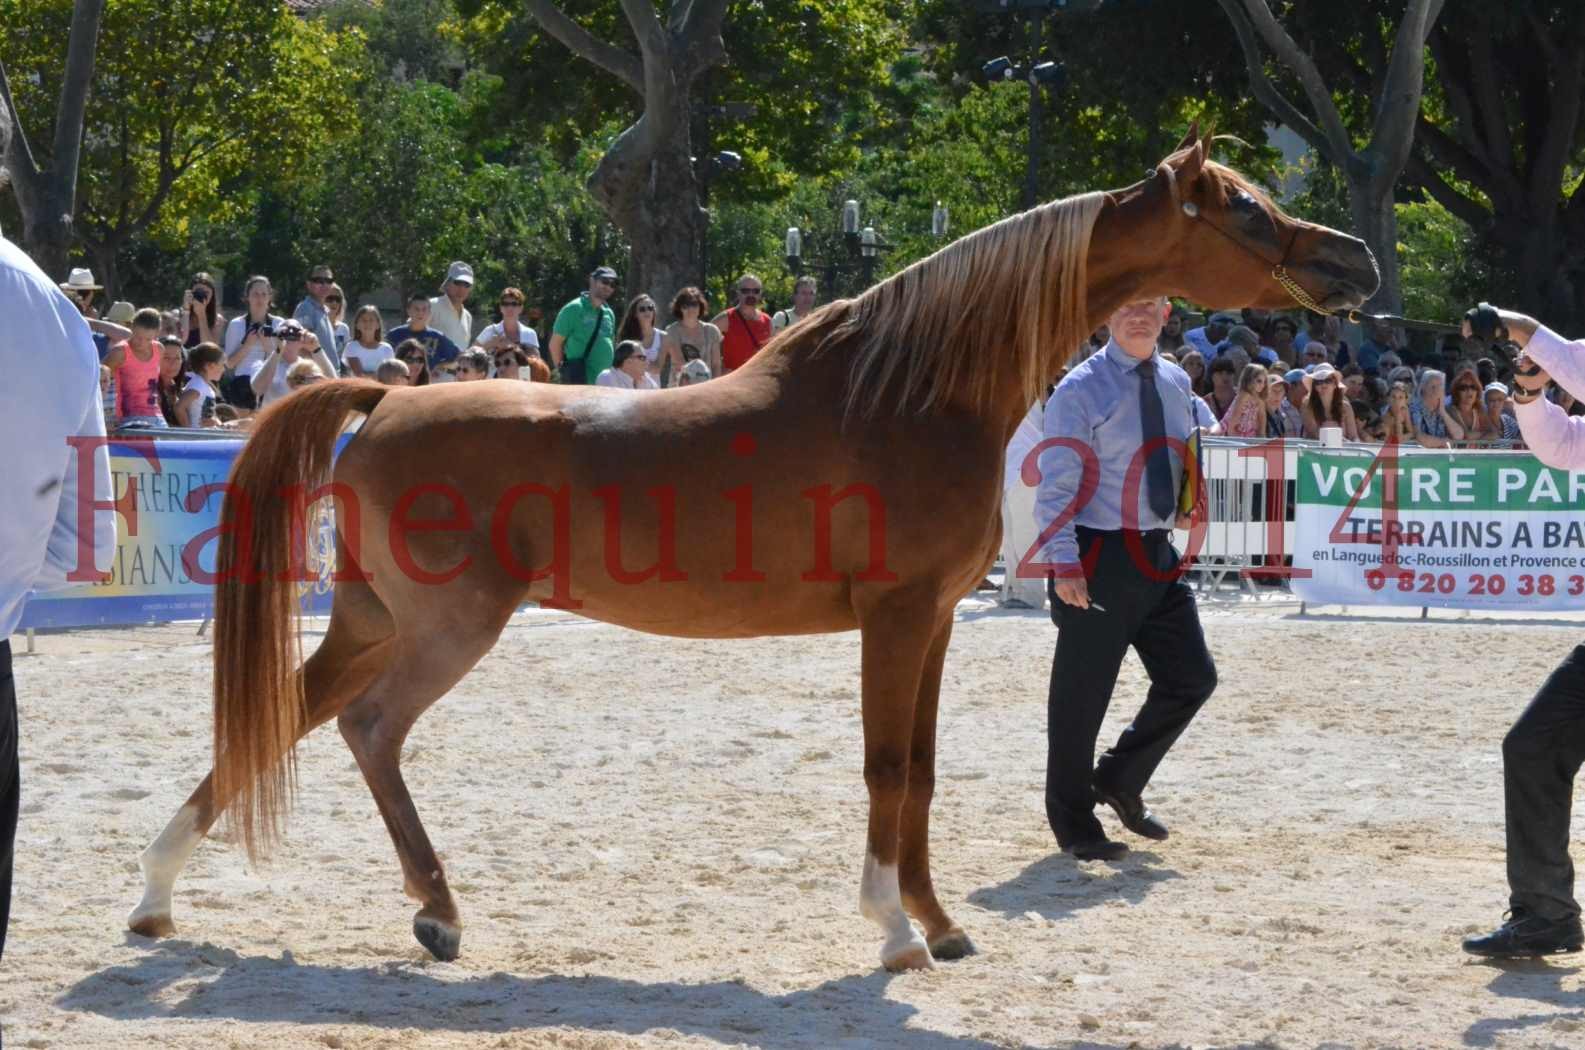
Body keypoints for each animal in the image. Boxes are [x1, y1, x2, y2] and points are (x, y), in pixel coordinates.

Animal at [129, 131, 1375, 970]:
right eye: (1245, 210)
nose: (1355, 261)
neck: (912, 390)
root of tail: (385, 400)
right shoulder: (897, 618)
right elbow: (888, 769)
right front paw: (895, 929)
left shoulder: (930, 626)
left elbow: (921, 772)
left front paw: (936, 923)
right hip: (445, 628)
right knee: (370, 729)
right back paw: (434, 911)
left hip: (369, 619)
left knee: (278, 718)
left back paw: (158, 895)